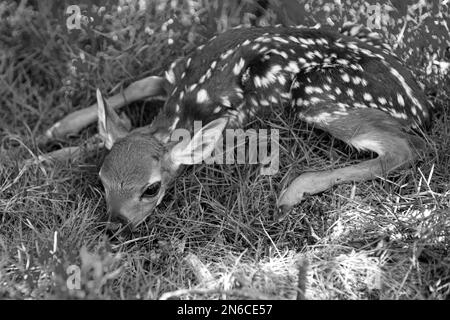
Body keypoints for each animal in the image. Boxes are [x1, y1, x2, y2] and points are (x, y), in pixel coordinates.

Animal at [94, 24, 428, 230]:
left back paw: (291, 194)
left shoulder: (235, 122)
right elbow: (136, 86)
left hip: (312, 91)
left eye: (151, 189)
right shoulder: (170, 74)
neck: (188, 97)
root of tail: (421, 105)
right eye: (102, 181)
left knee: (405, 149)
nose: (115, 224)